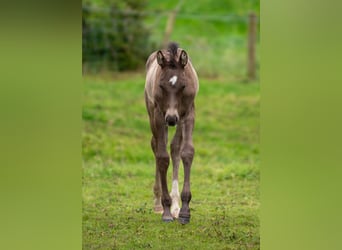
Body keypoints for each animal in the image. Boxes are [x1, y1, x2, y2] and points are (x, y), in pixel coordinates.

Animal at [144, 42, 198, 224]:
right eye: (161, 85)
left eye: (183, 85)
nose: (172, 118)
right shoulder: (159, 115)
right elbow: (162, 157)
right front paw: (166, 209)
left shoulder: (188, 114)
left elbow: (186, 152)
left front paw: (184, 211)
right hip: (153, 114)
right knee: (156, 146)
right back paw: (159, 203)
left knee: (174, 148)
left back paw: (176, 206)